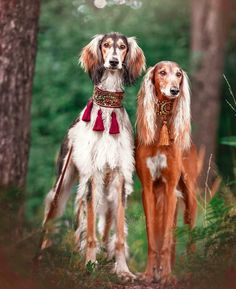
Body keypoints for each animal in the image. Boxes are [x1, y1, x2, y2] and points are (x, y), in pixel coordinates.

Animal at [38, 32, 145, 278]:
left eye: (122, 47)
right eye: (105, 45)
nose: (113, 62)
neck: (107, 112)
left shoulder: (119, 175)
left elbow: (119, 232)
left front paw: (122, 269)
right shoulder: (92, 174)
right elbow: (89, 230)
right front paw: (89, 263)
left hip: (106, 191)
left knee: (105, 224)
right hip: (63, 180)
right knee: (53, 214)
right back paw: (43, 253)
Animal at [135, 60, 199, 282]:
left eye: (178, 74)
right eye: (162, 72)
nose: (174, 90)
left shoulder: (171, 188)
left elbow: (166, 237)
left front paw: (167, 276)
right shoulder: (148, 189)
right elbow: (153, 238)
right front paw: (148, 273)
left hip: (189, 195)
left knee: (190, 232)